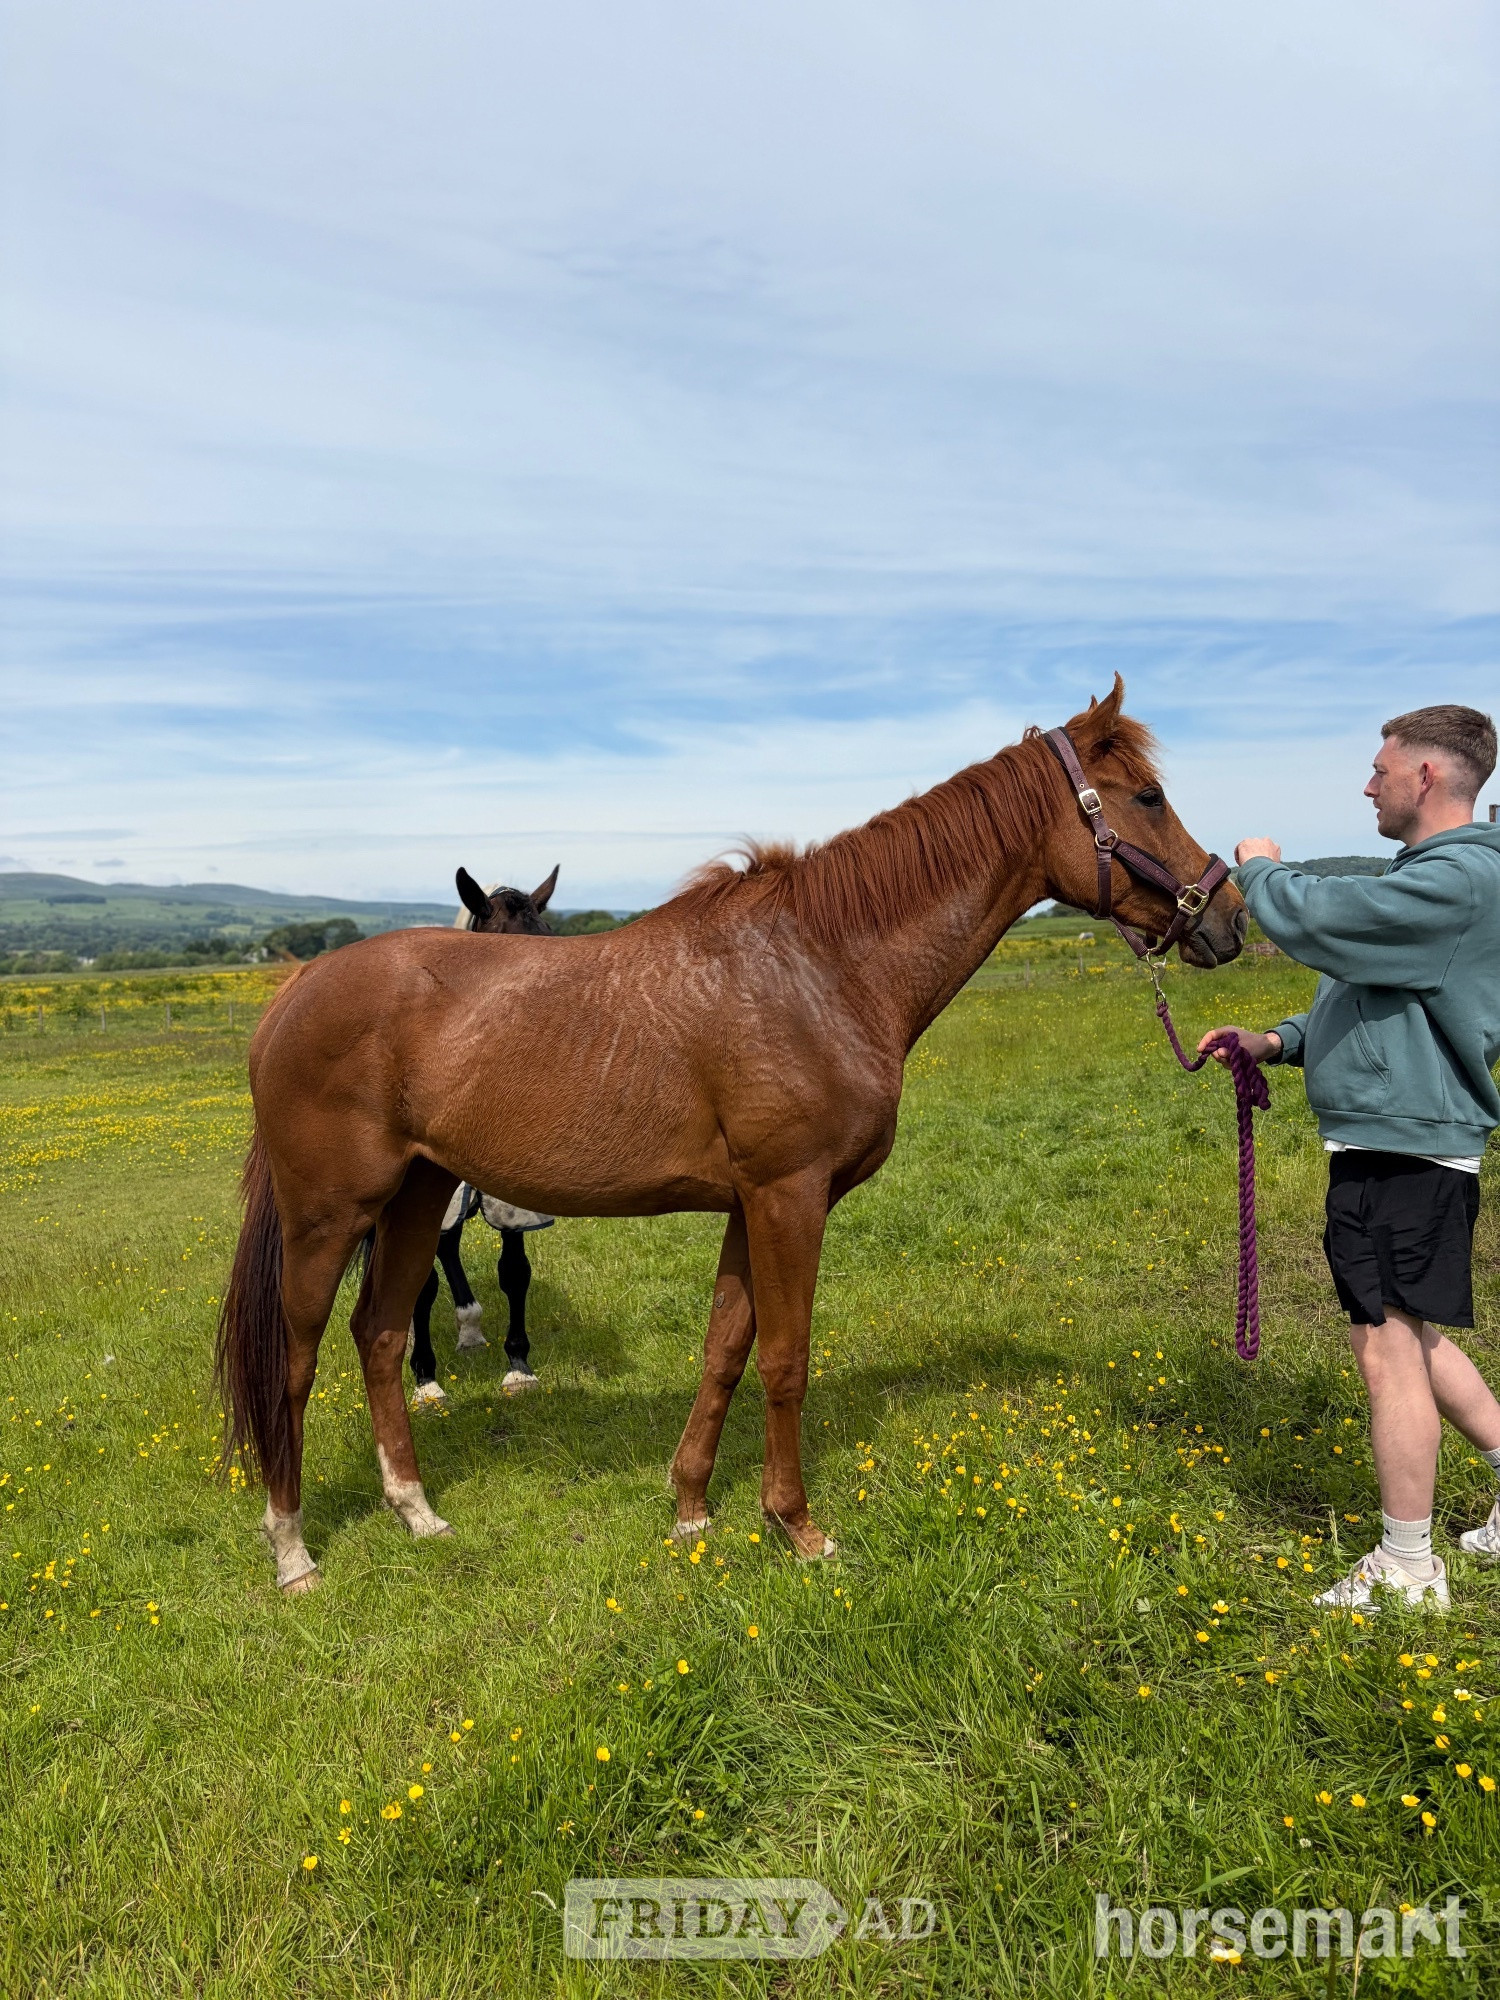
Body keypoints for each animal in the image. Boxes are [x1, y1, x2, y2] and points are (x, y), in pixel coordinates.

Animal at [404, 864, 560, 1407]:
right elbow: (421, 1283)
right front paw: (425, 1380)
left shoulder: (512, 1198)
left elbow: (515, 1272)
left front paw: (519, 1367)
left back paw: (470, 1327)